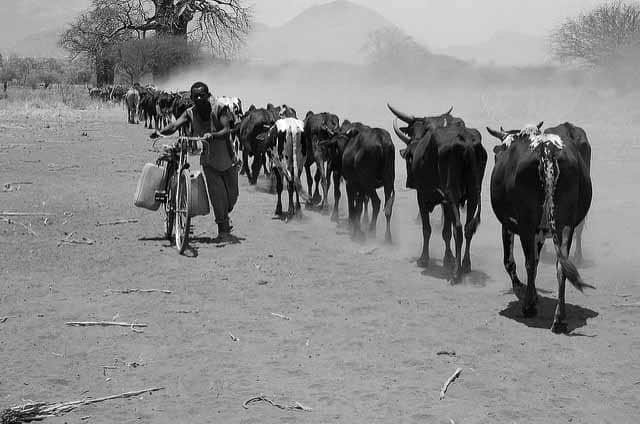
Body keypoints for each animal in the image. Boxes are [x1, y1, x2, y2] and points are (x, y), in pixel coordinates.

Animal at [388, 104, 488, 284]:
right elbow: (445, 232)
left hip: (452, 193)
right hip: (473, 194)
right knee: (468, 228)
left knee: (458, 228)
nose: (409, 183)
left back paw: (456, 273)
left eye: (409, 158)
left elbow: (427, 229)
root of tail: (467, 142)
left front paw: (424, 259)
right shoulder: (445, 201)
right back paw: (465, 265)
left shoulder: (422, 195)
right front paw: (448, 259)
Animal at [490, 121, 596, 332]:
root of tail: (547, 149)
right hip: (565, 226)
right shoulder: (541, 233)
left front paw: (523, 290)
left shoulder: (510, 225)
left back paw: (529, 307)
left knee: (530, 262)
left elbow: (511, 261)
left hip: (527, 225)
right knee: (561, 265)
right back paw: (560, 319)